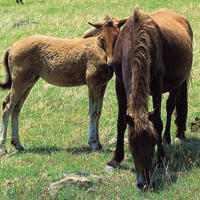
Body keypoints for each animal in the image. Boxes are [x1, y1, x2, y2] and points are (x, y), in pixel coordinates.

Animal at [106, 7, 192, 189]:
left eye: (152, 144)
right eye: (132, 147)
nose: (145, 182)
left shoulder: (157, 84)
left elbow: (158, 122)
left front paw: (161, 161)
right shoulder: (119, 83)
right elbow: (120, 122)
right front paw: (115, 160)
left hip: (177, 83)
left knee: (170, 107)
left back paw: (168, 138)